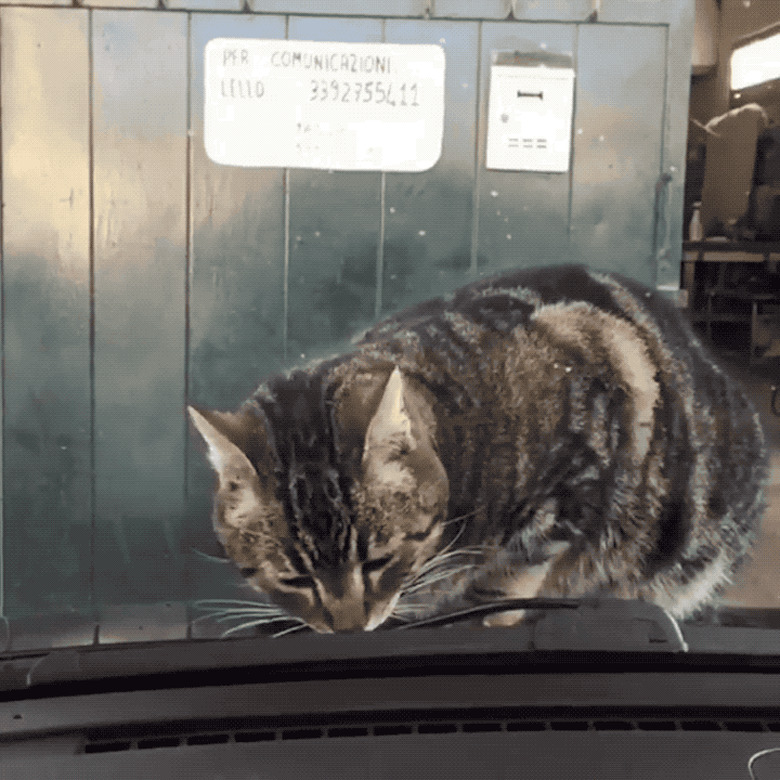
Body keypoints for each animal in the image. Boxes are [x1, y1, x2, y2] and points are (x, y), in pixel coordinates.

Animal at [190, 266, 768, 632]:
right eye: (293, 578)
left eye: (378, 560)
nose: (350, 631)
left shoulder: (572, 484)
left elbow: (514, 576)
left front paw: (489, 614)